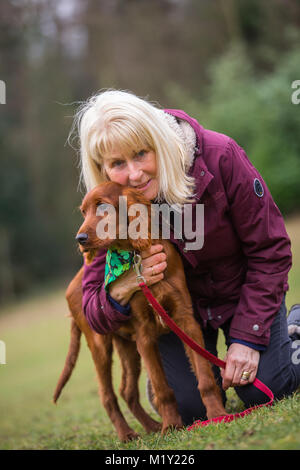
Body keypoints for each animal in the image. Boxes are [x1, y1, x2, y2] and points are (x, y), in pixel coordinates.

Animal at [54, 183, 227, 436]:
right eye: (83, 212)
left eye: (102, 207)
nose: (80, 239)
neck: (137, 255)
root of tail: (73, 286)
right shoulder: (144, 334)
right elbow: (162, 389)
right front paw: (171, 426)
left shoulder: (186, 321)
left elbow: (205, 377)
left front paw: (217, 414)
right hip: (100, 345)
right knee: (108, 396)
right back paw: (127, 434)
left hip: (126, 345)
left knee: (126, 390)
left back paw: (151, 426)